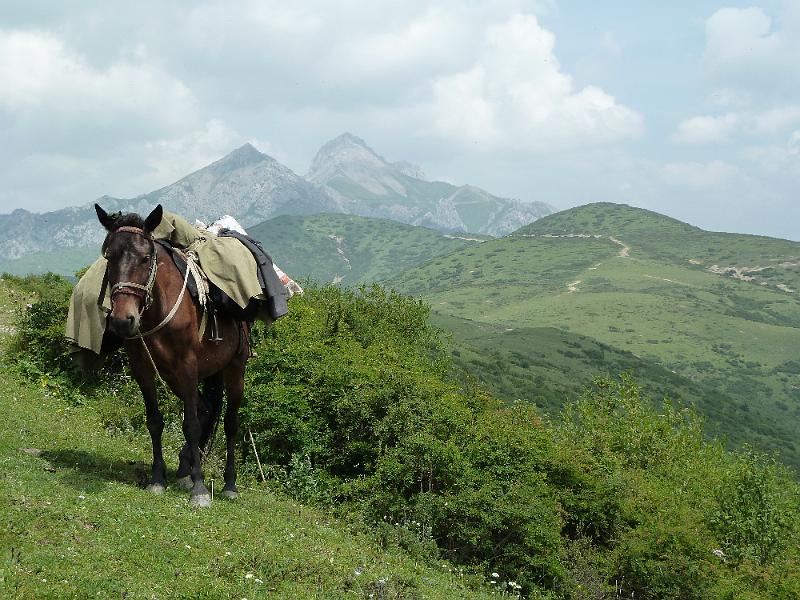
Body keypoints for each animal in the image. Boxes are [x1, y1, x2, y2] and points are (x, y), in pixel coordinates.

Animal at [95, 203, 248, 506]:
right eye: (108, 256)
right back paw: (185, 468)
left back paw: (229, 483)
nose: (122, 320)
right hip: (176, 375)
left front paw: (200, 489)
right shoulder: (143, 367)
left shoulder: (187, 366)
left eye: (145, 258)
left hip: (234, 368)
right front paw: (157, 478)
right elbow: (155, 421)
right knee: (204, 408)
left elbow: (191, 426)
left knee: (229, 423)